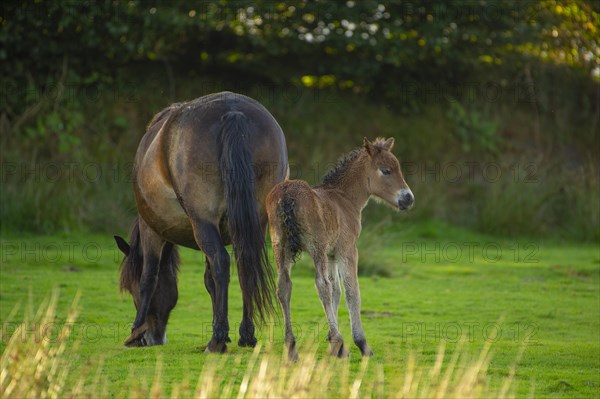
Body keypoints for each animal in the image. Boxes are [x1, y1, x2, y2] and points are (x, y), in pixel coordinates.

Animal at [115, 91, 290, 354]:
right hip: (255, 222)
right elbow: (210, 282)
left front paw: (135, 332)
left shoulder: (152, 230)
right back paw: (246, 335)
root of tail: (232, 111)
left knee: (222, 262)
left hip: (202, 223)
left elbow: (149, 277)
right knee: (243, 264)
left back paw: (216, 340)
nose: (154, 337)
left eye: (131, 289)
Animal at [266, 138, 412, 362]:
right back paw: (338, 340)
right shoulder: (347, 250)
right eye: (386, 170)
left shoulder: (331, 254)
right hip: (315, 247)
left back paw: (291, 347)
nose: (408, 199)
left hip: (280, 247)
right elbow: (352, 293)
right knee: (321, 285)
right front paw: (360, 344)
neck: (343, 198)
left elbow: (337, 291)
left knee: (284, 286)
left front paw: (333, 342)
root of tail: (287, 194)